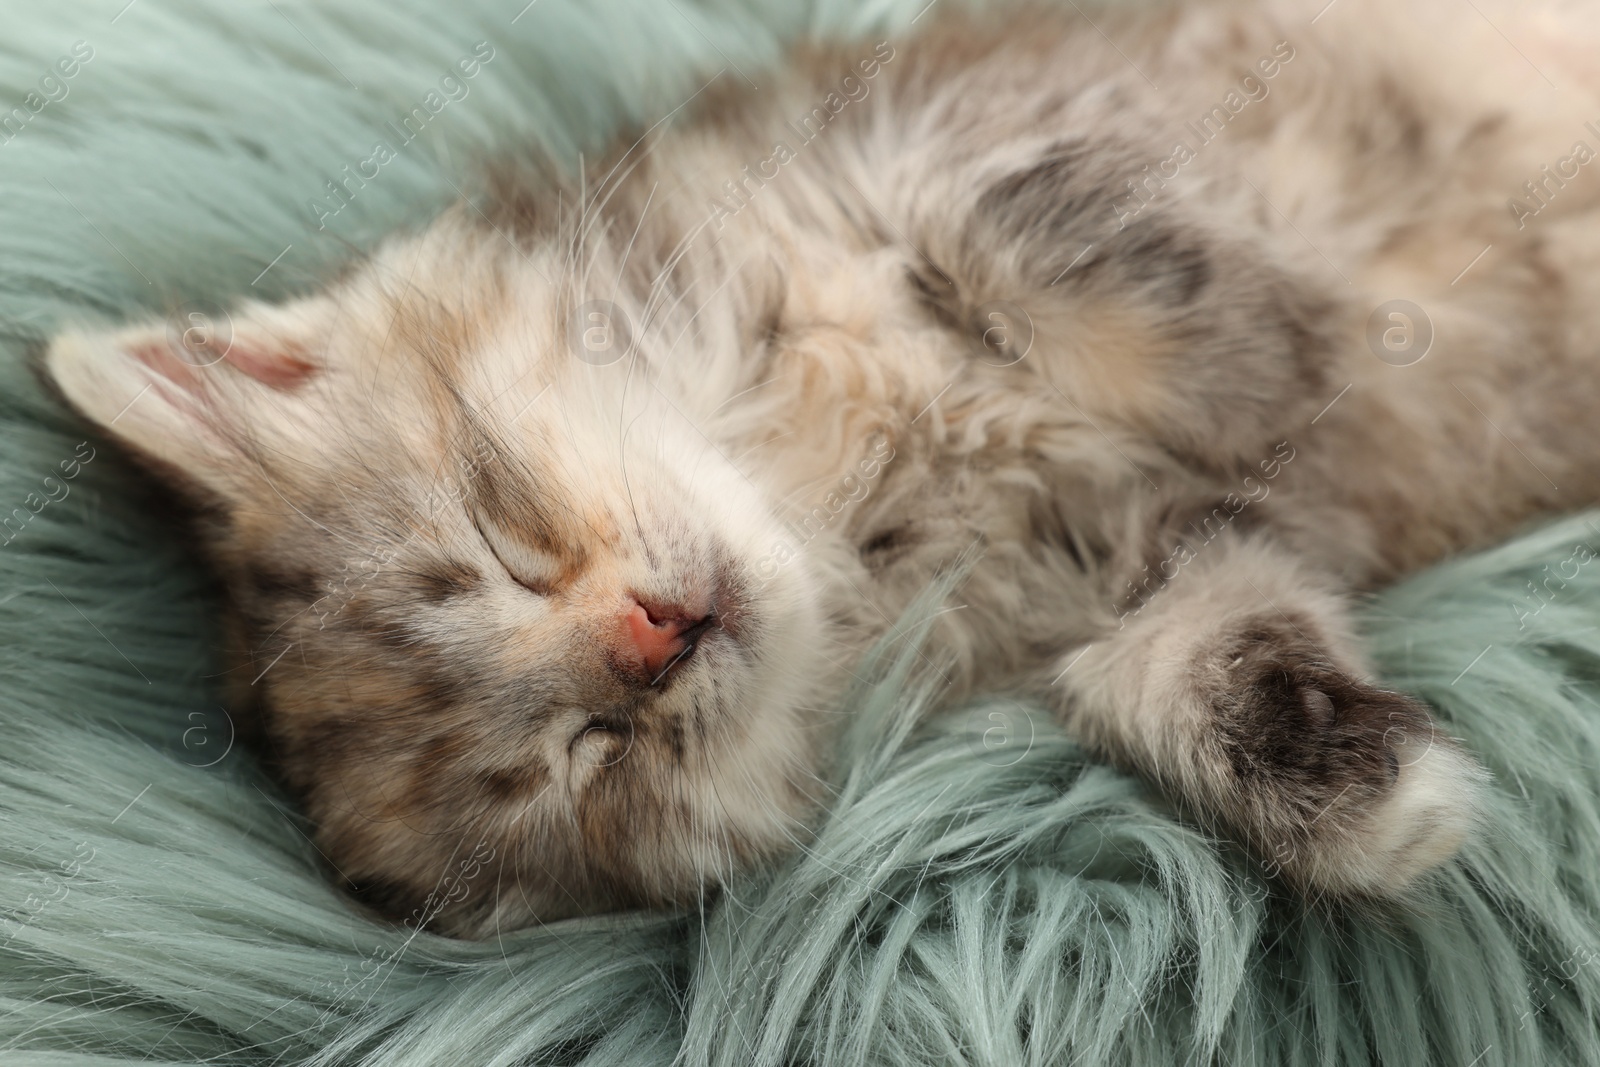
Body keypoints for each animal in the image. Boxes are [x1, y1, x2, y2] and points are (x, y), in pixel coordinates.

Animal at [40, 0, 1600, 934]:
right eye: (586, 756)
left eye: (503, 540)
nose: (656, 638)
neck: (836, 492)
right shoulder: (1139, 579)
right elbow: (1205, 670)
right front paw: (1380, 800)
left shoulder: (970, 129)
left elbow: (1033, 232)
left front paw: (1269, 354)